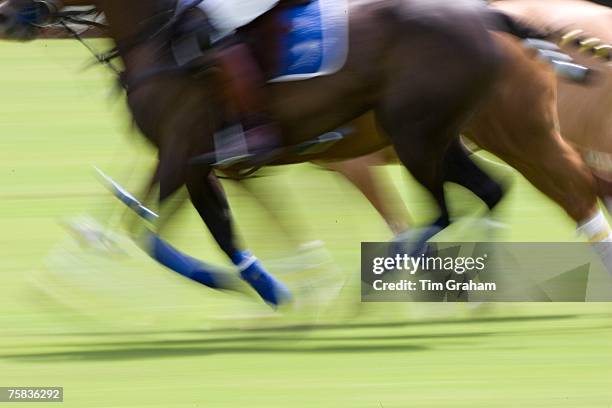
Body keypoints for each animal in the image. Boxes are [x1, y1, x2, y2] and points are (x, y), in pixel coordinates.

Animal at [1, 0, 608, 306]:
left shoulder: (184, 150)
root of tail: (489, 16)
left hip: (444, 132)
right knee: (492, 190)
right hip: (440, 134)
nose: (6, 13)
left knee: (549, 191)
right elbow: (186, 221)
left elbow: (148, 227)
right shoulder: (207, 159)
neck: (165, 42)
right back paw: (467, 284)